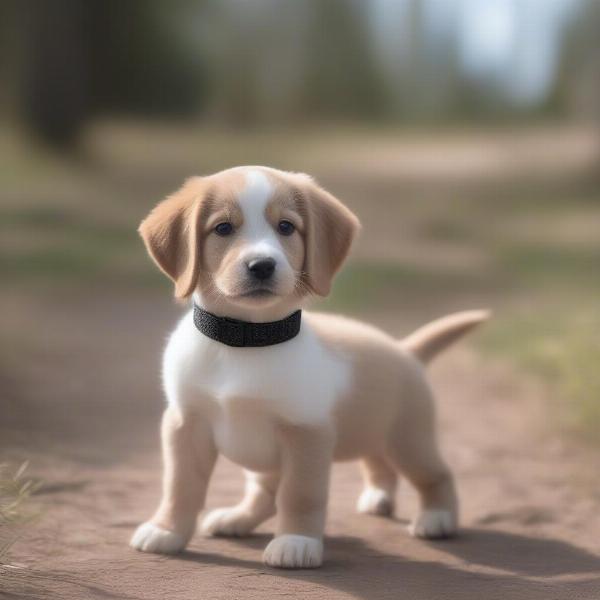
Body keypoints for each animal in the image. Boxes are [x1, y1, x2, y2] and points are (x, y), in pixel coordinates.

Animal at [130, 168, 488, 568]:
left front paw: (296, 542)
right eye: (223, 228)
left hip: (408, 439)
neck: (247, 340)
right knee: (298, 485)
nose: (262, 265)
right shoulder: (185, 424)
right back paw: (244, 517)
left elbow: (300, 494)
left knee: (435, 474)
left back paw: (437, 517)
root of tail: (404, 349)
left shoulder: (306, 433)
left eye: (286, 227)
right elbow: (180, 486)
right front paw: (166, 530)